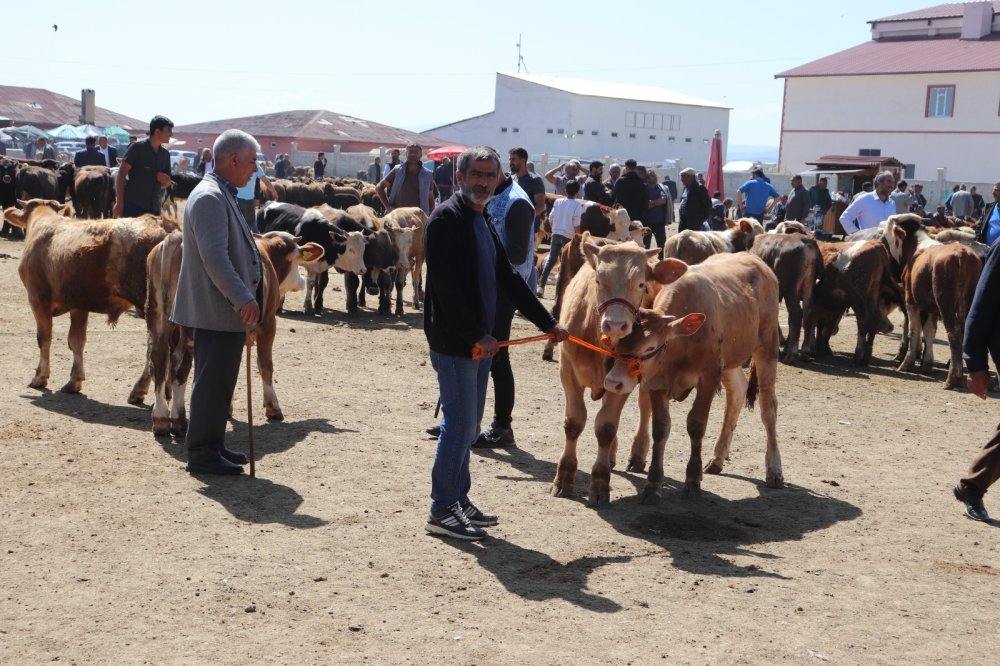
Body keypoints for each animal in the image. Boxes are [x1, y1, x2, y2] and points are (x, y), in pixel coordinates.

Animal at [3, 200, 179, 392]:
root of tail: (165, 225)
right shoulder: (79, 305)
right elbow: (77, 340)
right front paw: (74, 380)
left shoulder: (37, 298)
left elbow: (44, 338)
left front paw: (40, 377)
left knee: (155, 349)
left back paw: (140, 390)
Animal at [129, 231, 324, 434]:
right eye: (297, 261)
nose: (302, 281)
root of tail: (174, 239)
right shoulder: (268, 323)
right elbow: (265, 365)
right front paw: (273, 407)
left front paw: (227, 409)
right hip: (189, 326)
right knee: (179, 362)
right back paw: (178, 419)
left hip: (156, 313)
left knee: (158, 358)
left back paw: (160, 418)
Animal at [600, 252, 780, 500]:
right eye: (618, 344)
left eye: (649, 348)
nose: (612, 382)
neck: (681, 344)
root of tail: (754, 259)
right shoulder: (657, 382)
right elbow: (660, 428)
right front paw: (653, 483)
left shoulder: (709, 378)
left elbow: (696, 424)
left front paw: (693, 479)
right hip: (730, 360)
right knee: (737, 392)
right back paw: (717, 458)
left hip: (767, 346)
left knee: (768, 408)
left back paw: (774, 470)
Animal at [888, 213, 980, 390]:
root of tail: (962, 254)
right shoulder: (931, 307)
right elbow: (929, 331)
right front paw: (927, 364)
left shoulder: (911, 301)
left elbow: (913, 330)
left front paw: (907, 362)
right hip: (968, 299)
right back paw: (959, 375)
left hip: (945, 302)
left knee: (954, 333)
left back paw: (952, 378)